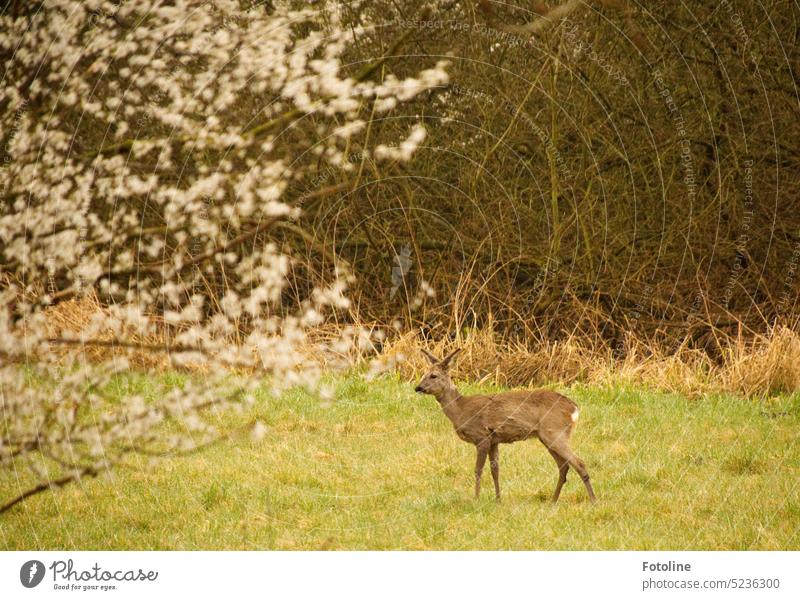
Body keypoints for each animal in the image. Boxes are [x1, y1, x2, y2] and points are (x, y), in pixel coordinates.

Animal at [418, 350, 592, 504]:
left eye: (434, 375)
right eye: (423, 374)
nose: (418, 388)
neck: (461, 410)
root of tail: (574, 408)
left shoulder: (481, 436)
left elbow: (478, 470)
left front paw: (476, 499)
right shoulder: (494, 440)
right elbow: (495, 471)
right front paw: (498, 499)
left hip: (555, 432)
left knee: (579, 463)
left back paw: (593, 501)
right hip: (547, 437)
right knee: (564, 466)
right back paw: (553, 501)